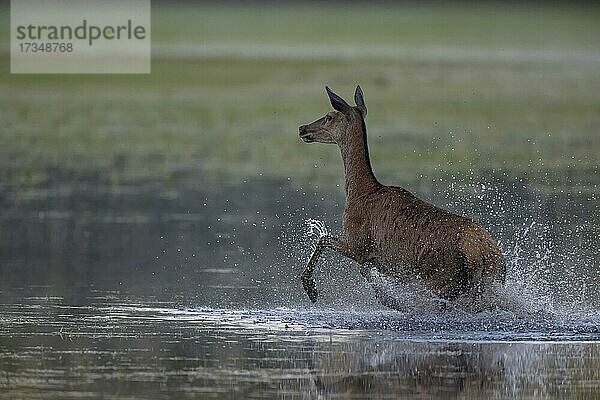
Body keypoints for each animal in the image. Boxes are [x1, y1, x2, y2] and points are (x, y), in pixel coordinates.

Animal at [298, 85, 504, 310]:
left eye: (329, 116)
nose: (302, 128)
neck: (359, 192)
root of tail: (484, 254)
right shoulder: (380, 261)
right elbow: (366, 269)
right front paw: (391, 300)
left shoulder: (357, 243)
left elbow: (323, 239)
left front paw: (311, 288)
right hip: (487, 285)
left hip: (441, 279)